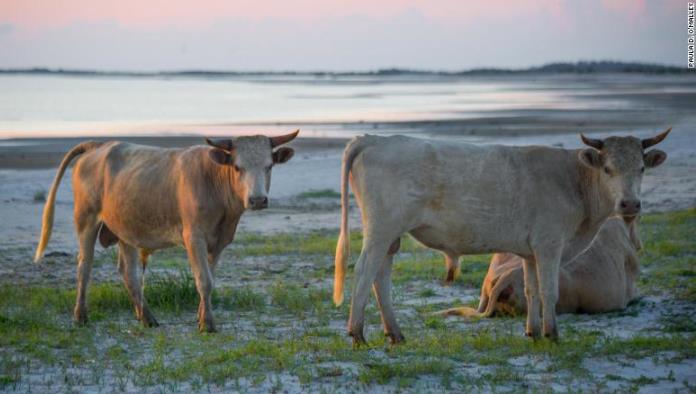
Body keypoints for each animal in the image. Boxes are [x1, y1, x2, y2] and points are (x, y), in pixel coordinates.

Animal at [36, 131, 300, 330]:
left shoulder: (220, 241)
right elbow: (204, 280)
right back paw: (81, 316)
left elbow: (210, 278)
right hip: (86, 219)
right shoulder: (194, 236)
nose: (258, 200)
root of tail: (98, 146)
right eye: (237, 167)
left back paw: (147, 317)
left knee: (128, 272)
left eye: (269, 166)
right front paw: (207, 324)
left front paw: (201, 316)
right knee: (85, 266)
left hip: (125, 228)